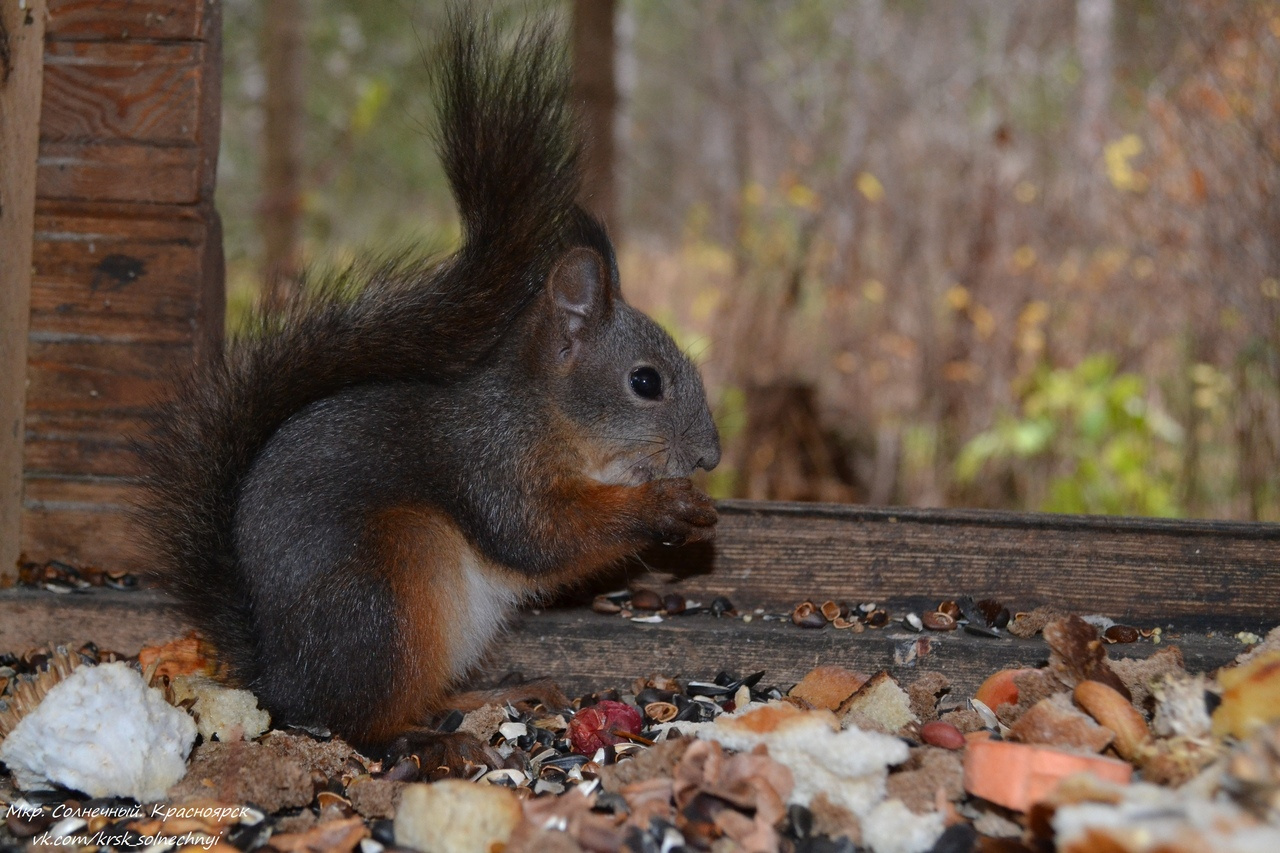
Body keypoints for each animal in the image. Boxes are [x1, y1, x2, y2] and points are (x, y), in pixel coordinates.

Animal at [142, 11, 721, 758]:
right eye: (645, 381)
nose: (710, 456)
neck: (545, 418)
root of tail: (277, 675)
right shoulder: (490, 466)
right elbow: (541, 536)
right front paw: (664, 506)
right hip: (391, 593)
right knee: (357, 720)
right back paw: (428, 742)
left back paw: (500, 695)